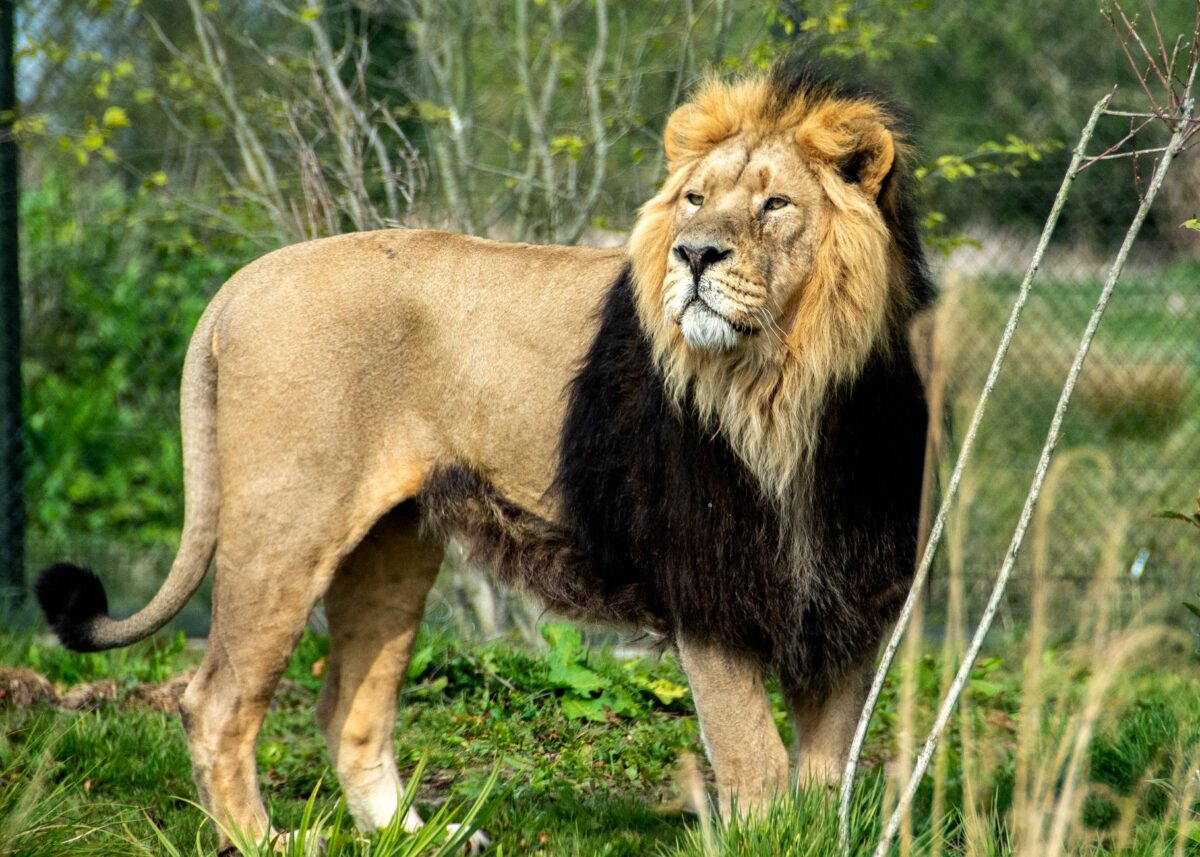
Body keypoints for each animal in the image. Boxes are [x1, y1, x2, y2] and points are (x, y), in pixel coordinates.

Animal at [36, 59, 932, 852]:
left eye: (776, 203)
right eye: (694, 200)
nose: (695, 254)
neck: (791, 387)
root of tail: (243, 280)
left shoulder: (849, 595)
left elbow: (827, 771)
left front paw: (819, 832)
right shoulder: (707, 586)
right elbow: (756, 762)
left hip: (392, 547)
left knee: (348, 709)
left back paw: (416, 835)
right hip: (285, 525)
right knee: (216, 698)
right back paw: (266, 840)